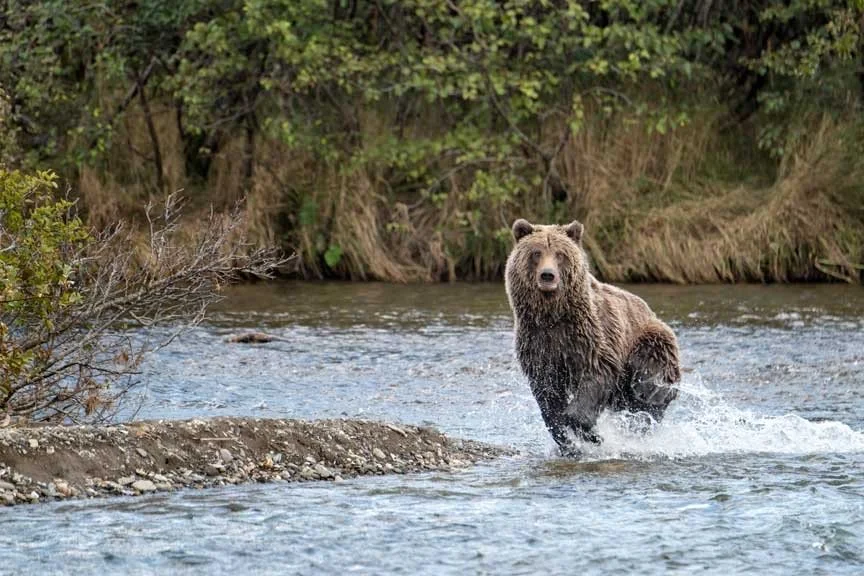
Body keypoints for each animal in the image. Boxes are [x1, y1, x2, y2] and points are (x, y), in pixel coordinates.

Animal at [504, 218, 680, 455]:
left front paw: (589, 433)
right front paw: (568, 438)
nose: (548, 275)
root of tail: (649, 310)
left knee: (648, 389)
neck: (553, 315)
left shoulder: (592, 337)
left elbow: (595, 377)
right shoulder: (539, 345)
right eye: (536, 253)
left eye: (560, 254)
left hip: (648, 341)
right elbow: (549, 397)